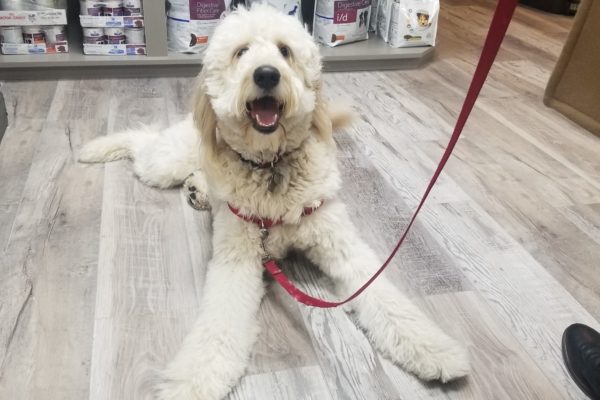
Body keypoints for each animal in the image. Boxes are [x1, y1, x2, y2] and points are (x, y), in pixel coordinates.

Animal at [78, 3, 468, 400]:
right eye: (241, 52)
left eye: (285, 51)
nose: (266, 74)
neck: (271, 169)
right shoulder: (236, 256)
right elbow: (219, 322)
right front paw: (196, 378)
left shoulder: (339, 242)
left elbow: (385, 297)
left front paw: (431, 348)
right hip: (166, 162)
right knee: (143, 141)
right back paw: (99, 148)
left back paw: (196, 189)